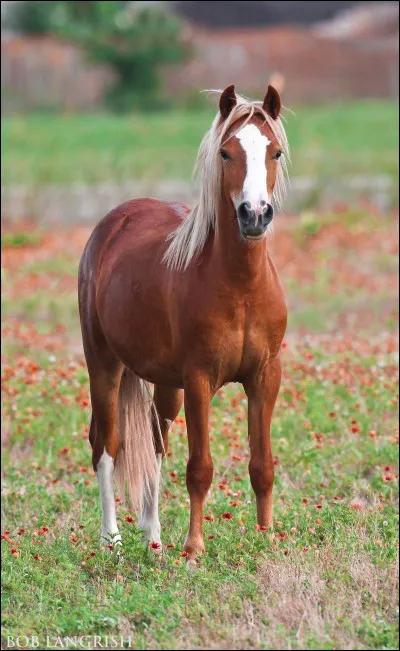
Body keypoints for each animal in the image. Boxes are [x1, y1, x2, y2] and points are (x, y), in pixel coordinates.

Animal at [78, 84, 290, 558]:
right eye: (226, 153)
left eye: (276, 152)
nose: (254, 214)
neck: (240, 285)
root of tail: (111, 224)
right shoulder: (198, 381)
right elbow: (200, 468)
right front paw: (194, 549)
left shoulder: (265, 377)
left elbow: (262, 465)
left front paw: (267, 539)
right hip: (104, 366)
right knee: (106, 445)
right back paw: (112, 541)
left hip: (164, 383)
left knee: (155, 446)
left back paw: (153, 539)